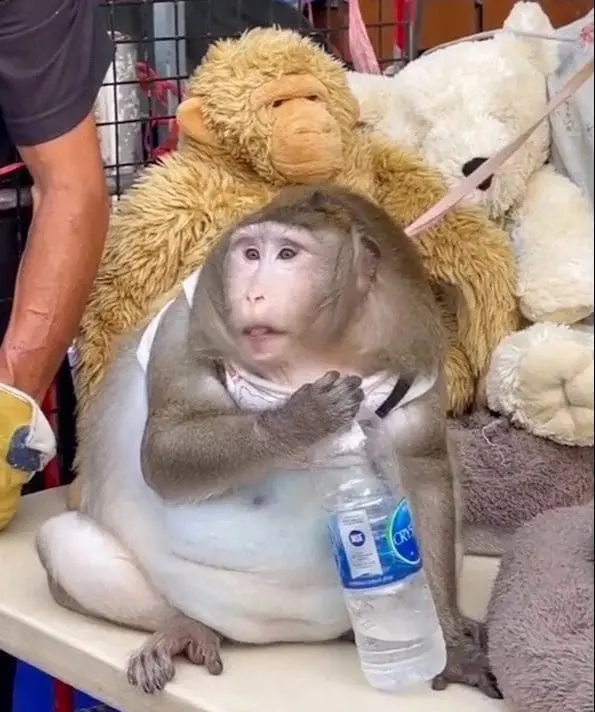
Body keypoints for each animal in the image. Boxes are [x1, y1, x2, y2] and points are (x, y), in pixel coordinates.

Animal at [35, 185, 501, 699]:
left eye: (288, 254)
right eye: (251, 254)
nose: (253, 293)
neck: (317, 349)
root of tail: (278, 636)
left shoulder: (414, 340)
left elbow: (424, 473)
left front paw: (453, 649)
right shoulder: (188, 320)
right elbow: (164, 450)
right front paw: (300, 420)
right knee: (65, 545)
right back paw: (185, 627)